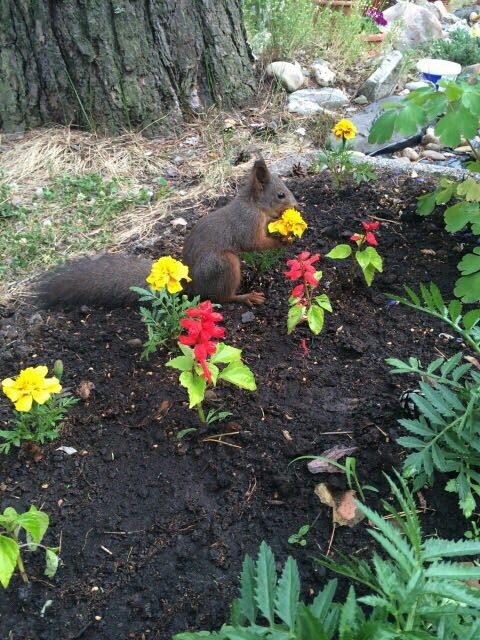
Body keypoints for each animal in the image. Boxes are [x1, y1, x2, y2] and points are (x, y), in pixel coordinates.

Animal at [32, 160, 296, 310]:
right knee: (222, 297)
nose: (296, 204)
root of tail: (191, 283)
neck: (254, 205)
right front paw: (282, 240)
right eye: (280, 195)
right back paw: (245, 297)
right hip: (224, 264)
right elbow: (254, 243)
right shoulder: (246, 223)